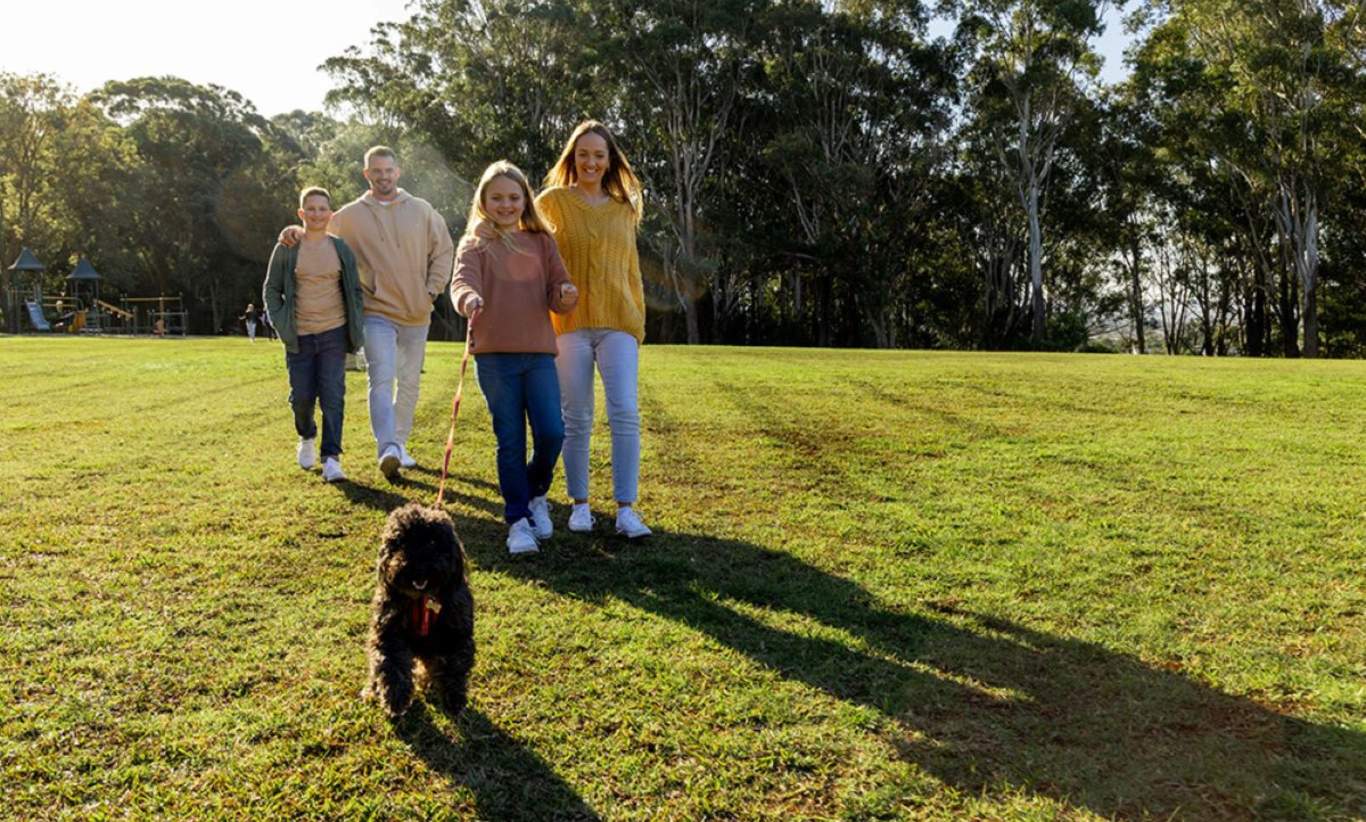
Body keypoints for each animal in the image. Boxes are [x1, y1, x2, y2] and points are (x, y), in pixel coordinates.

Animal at [363, 499, 475, 715]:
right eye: (402, 542)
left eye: (433, 542)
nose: (418, 566)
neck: (421, 600)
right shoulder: (388, 632)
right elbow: (391, 664)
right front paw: (395, 697)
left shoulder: (457, 632)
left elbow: (455, 665)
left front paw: (453, 696)